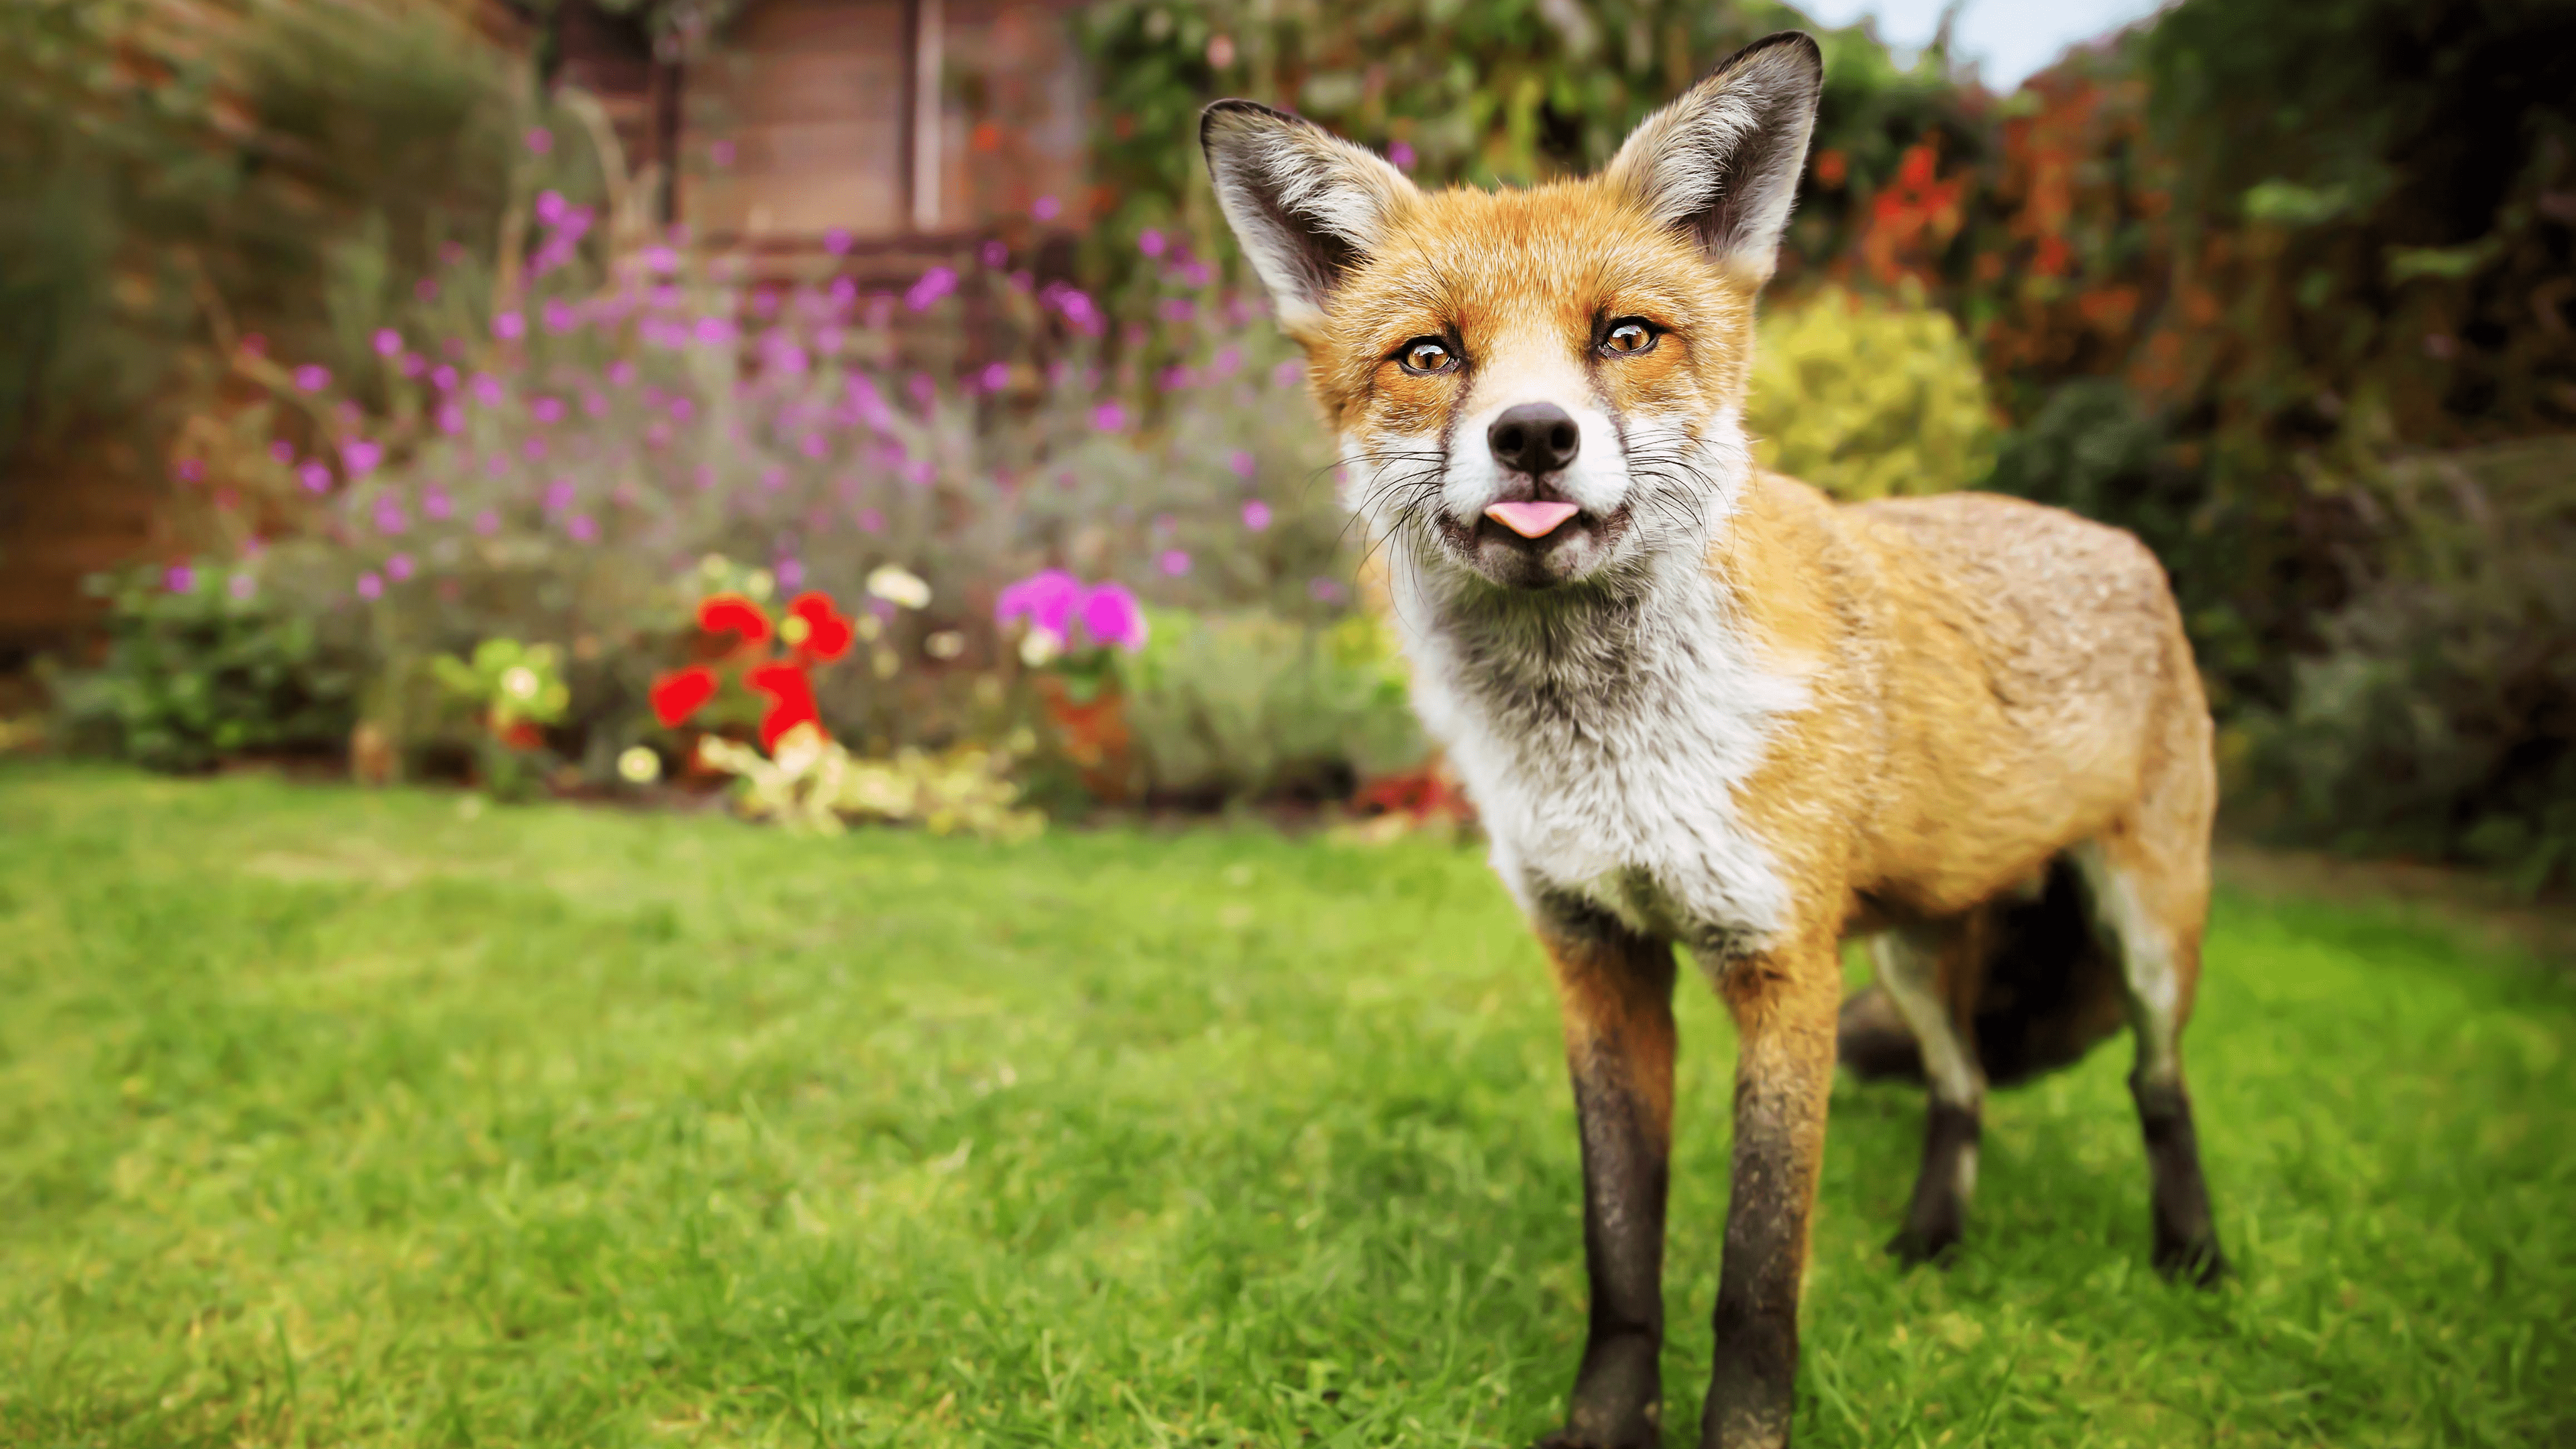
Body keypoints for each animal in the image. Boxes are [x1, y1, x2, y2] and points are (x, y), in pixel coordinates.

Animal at [1205, 31, 2236, 1444]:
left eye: (1625, 336)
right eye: (1430, 356)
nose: (1535, 437)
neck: (1610, 754)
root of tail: (2117, 543)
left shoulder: (1783, 968)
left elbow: (1755, 1273)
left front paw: (1742, 1429)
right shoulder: (1598, 960)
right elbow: (1621, 1250)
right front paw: (1604, 1419)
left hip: (2144, 929)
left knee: (2156, 1086)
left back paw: (2192, 1253)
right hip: (1917, 951)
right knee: (1963, 1089)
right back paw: (1931, 1241)